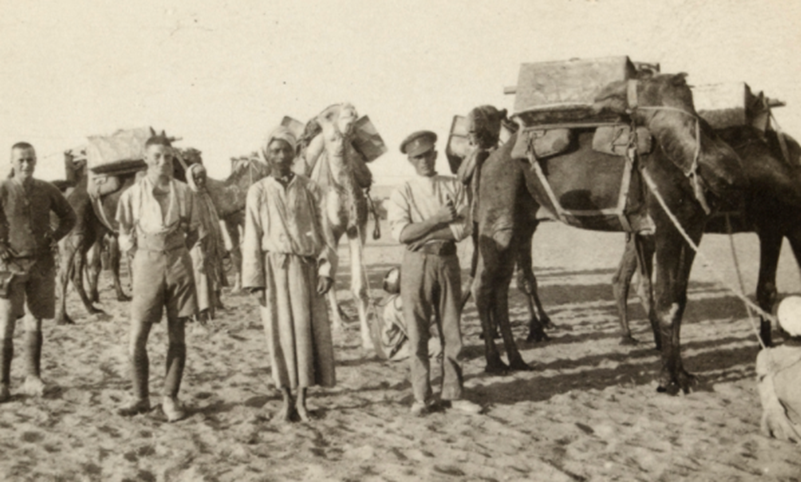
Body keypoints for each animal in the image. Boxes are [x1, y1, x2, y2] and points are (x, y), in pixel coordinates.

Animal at [296, 102, 376, 350]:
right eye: (328, 115)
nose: (351, 109)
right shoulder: (327, 230)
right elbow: (328, 276)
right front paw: (338, 329)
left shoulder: (357, 228)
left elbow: (359, 287)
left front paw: (368, 340)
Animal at [608, 125, 800, 346]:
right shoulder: (772, 227)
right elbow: (766, 290)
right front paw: (766, 344)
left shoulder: (789, 228)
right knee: (631, 281)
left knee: (626, 279)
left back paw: (632, 336)